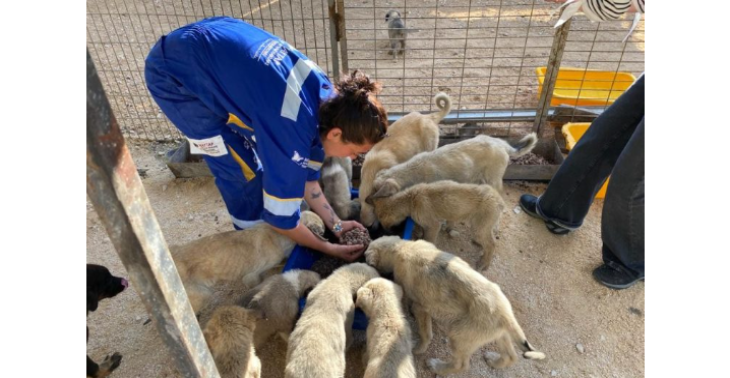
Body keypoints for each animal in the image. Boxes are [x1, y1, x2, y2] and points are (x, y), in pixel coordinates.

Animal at [366, 236, 544, 376]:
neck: (401, 247)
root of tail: (506, 315)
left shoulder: (420, 307)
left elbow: (425, 333)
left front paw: (418, 349)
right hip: (498, 334)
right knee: (511, 356)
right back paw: (494, 361)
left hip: (460, 336)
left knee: (461, 365)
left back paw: (437, 367)